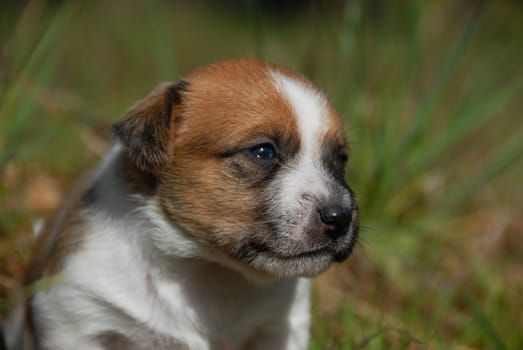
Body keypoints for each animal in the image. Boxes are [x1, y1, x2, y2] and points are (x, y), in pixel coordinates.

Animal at [5, 59, 360, 350]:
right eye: (263, 151)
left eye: (340, 159)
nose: (340, 217)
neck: (209, 268)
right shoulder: (76, 316)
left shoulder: (279, 328)